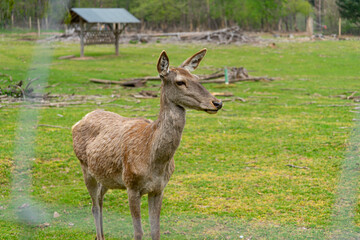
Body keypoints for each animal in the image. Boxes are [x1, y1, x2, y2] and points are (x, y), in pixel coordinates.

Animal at [71, 49, 222, 240]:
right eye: (180, 82)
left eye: (197, 78)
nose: (217, 102)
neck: (154, 160)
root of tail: (78, 121)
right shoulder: (132, 186)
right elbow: (138, 232)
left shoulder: (159, 188)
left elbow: (155, 230)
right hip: (85, 168)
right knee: (95, 206)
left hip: (105, 177)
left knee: (99, 201)